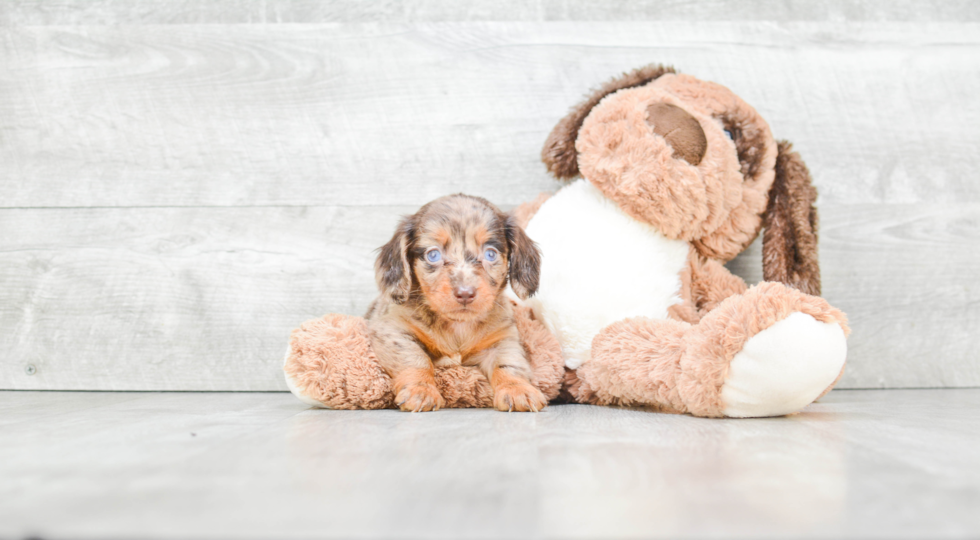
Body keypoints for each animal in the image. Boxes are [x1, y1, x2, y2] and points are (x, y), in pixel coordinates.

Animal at [366, 195, 548, 414]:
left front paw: (517, 389)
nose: (465, 293)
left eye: (490, 254)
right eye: (433, 255)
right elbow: (416, 359)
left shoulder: (503, 341)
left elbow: (509, 364)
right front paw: (421, 389)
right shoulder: (392, 330)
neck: (457, 325)